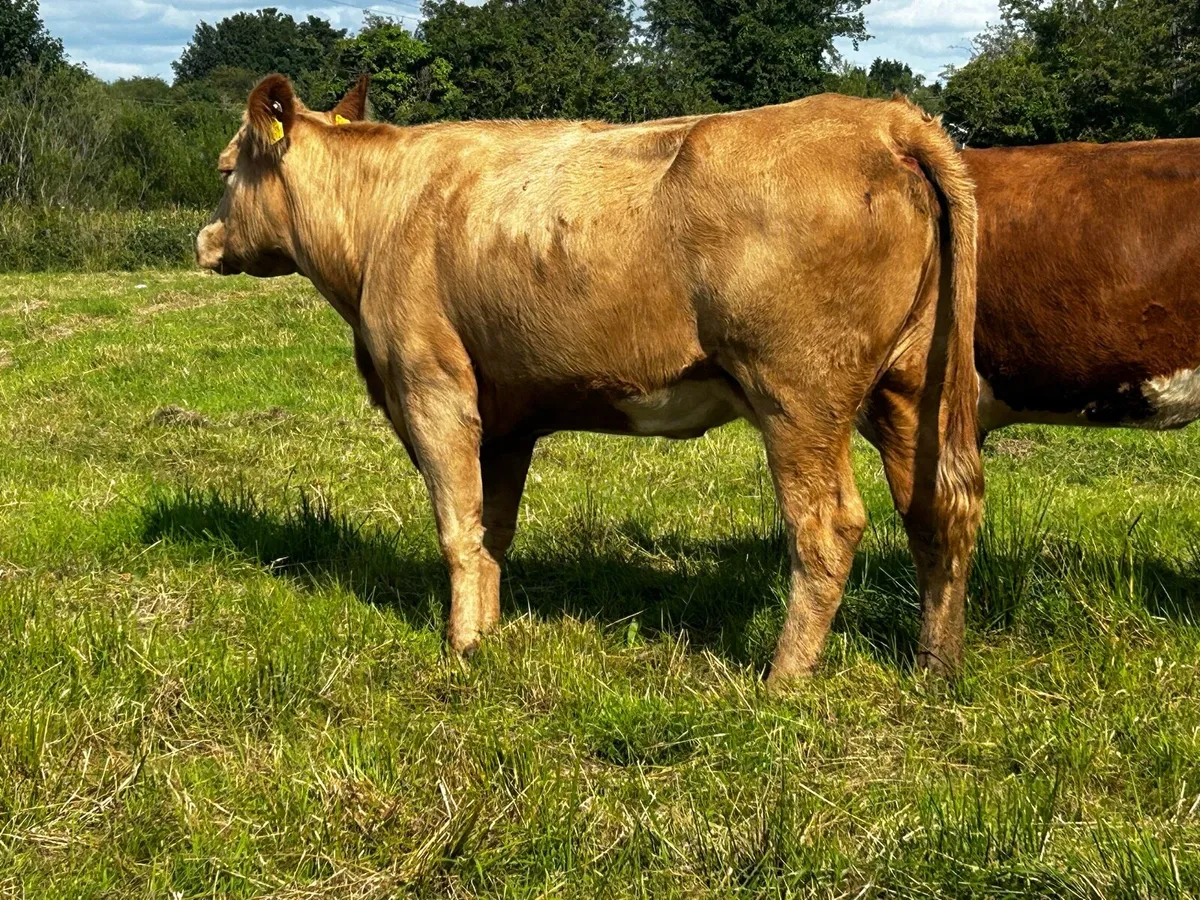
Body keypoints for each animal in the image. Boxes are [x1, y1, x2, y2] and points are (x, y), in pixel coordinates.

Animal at [195, 75, 983, 683]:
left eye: (227, 169)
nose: (203, 240)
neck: (383, 217)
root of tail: (884, 119)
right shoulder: (507, 417)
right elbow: (493, 528)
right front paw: (490, 631)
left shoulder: (431, 387)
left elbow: (457, 524)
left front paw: (461, 645)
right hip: (910, 386)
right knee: (938, 508)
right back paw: (935, 665)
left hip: (799, 393)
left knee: (826, 525)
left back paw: (783, 677)